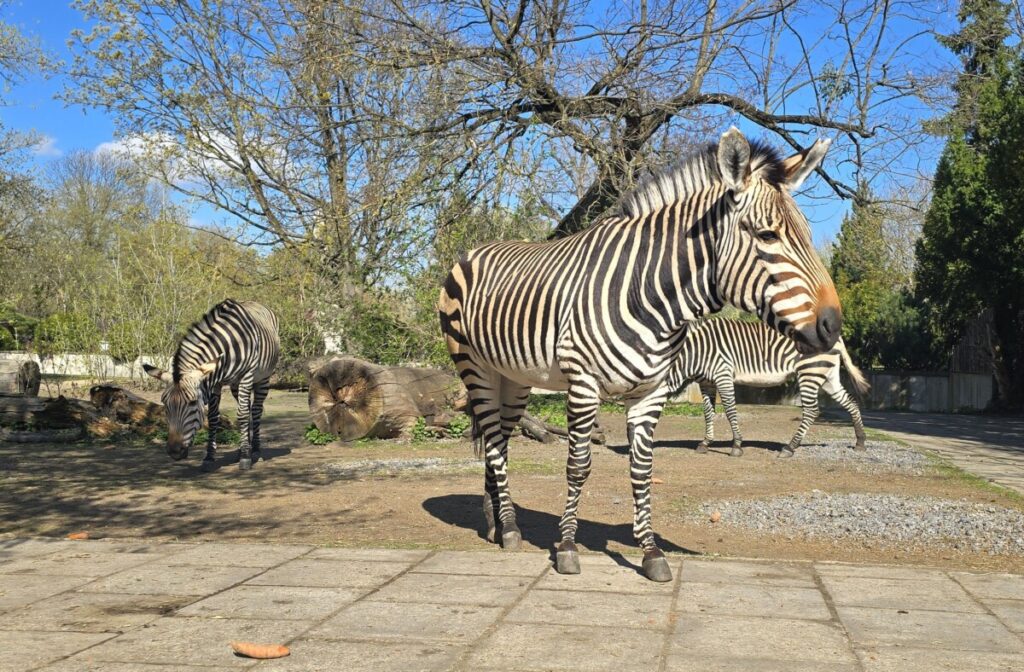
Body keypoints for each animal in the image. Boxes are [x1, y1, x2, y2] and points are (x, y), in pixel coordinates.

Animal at [143, 299, 280, 471]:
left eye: (192, 402)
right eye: (165, 404)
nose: (174, 451)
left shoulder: (246, 376)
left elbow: (242, 415)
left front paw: (245, 457)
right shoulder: (216, 382)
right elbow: (213, 418)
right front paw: (209, 457)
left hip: (263, 378)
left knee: (255, 410)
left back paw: (254, 450)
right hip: (235, 385)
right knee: (247, 407)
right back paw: (243, 448)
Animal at [438, 128, 842, 582]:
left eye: (807, 234)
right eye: (768, 235)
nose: (834, 325)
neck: (647, 291)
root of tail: (474, 250)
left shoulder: (651, 390)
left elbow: (643, 468)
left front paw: (651, 552)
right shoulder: (583, 384)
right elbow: (578, 465)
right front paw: (567, 548)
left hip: (514, 378)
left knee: (500, 441)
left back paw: (495, 522)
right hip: (474, 367)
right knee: (492, 440)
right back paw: (508, 529)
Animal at [666, 318, 870, 458]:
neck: (695, 351)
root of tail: (837, 338)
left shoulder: (723, 374)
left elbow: (730, 410)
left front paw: (736, 445)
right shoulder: (706, 382)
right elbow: (708, 413)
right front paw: (705, 443)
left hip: (810, 371)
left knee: (812, 410)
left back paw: (789, 448)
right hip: (827, 376)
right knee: (851, 402)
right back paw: (860, 442)